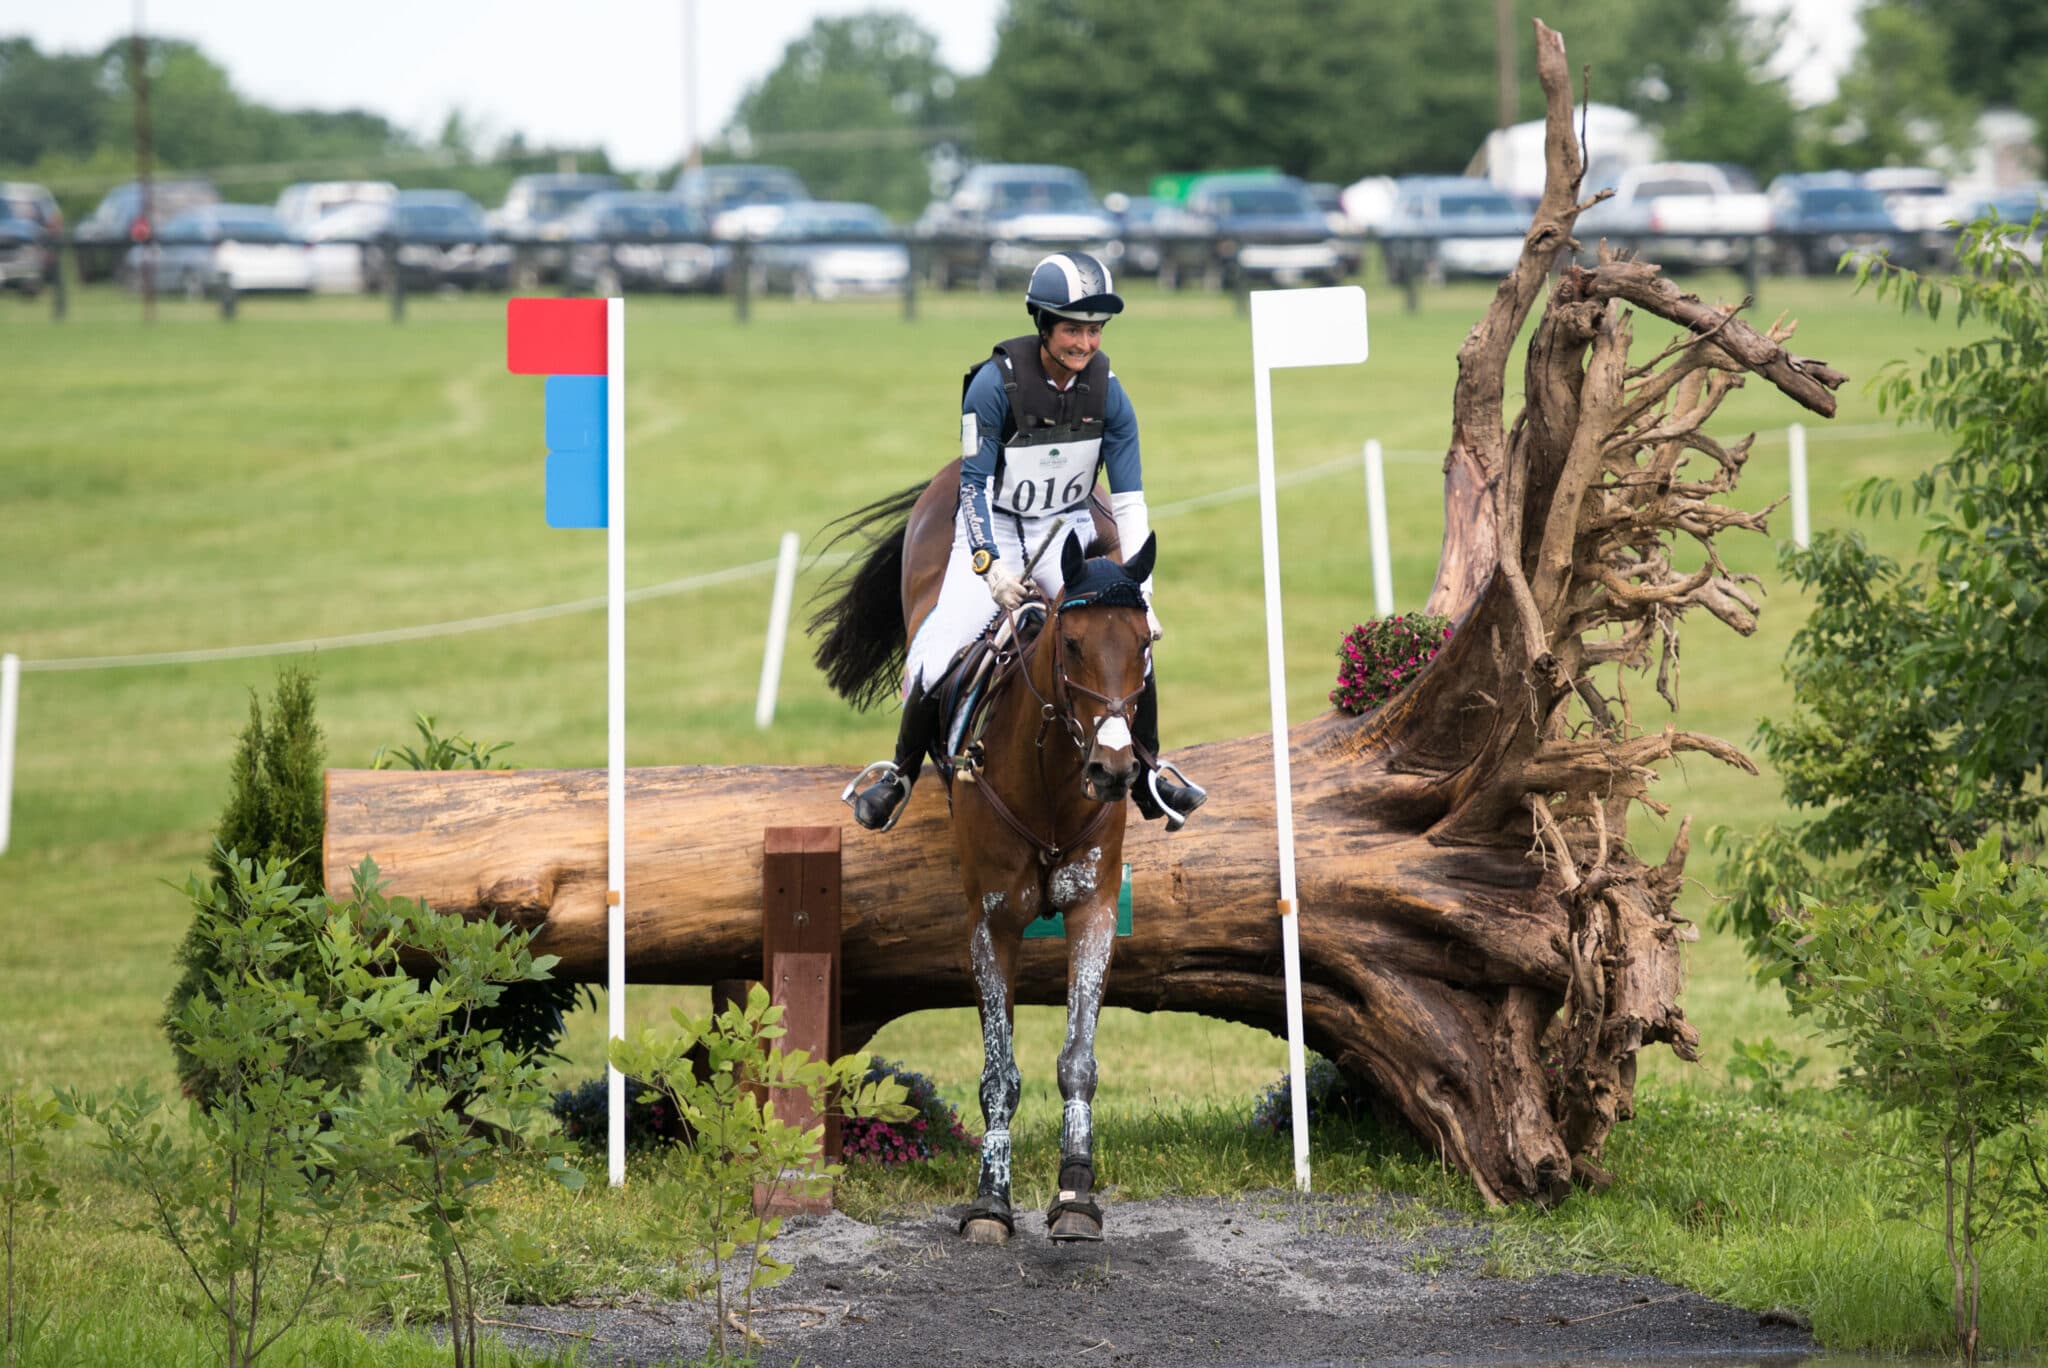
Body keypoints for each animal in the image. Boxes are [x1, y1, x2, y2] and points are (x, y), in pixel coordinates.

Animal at [810, 462, 1156, 1244]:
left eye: (1144, 648)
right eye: (1071, 645)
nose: (1115, 772)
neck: (1052, 782)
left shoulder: (1092, 908)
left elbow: (1078, 1060)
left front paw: (1076, 1195)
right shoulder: (993, 920)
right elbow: (1000, 1069)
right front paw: (990, 1203)